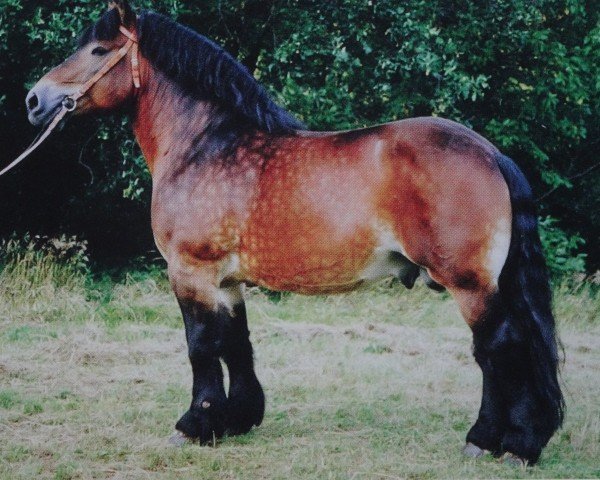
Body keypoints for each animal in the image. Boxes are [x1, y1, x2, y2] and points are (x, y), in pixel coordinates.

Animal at [23, 0, 564, 464]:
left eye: (98, 50)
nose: (34, 99)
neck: (204, 146)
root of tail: (491, 154)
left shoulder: (191, 271)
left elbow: (201, 346)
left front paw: (194, 425)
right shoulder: (227, 281)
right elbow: (236, 343)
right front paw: (237, 420)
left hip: (469, 284)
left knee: (498, 349)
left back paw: (499, 442)